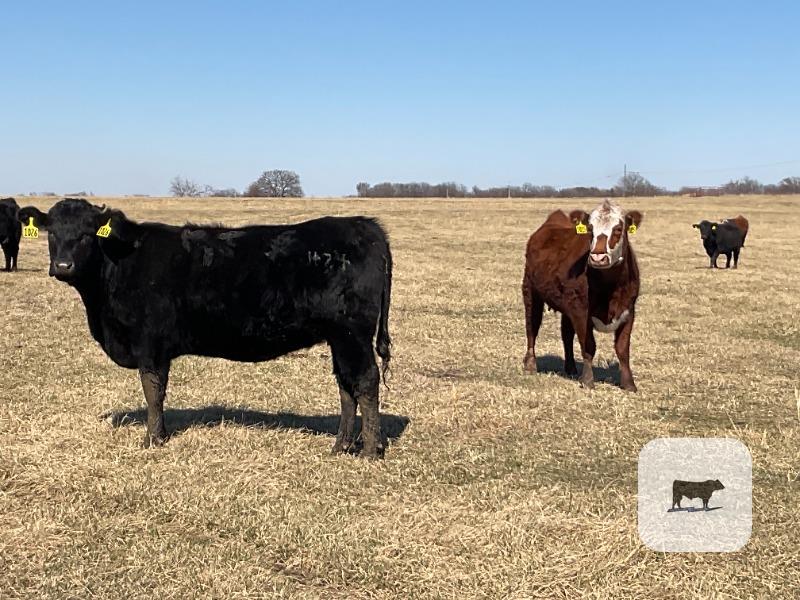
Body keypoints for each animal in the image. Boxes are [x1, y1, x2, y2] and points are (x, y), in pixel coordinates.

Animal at [18, 199, 393, 458]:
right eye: (53, 233)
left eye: (85, 235)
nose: (62, 266)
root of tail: (365, 226)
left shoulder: (150, 344)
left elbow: (153, 391)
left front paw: (153, 439)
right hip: (338, 338)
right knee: (346, 386)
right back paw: (340, 446)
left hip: (352, 334)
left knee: (365, 382)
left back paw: (369, 451)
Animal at [522, 199, 643, 392]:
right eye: (591, 229)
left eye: (618, 229)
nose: (598, 258)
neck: (610, 288)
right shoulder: (580, 311)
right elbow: (589, 346)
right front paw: (587, 380)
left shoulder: (629, 310)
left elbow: (623, 349)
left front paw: (629, 384)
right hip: (530, 293)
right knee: (532, 328)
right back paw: (530, 365)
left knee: (566, 334)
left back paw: (571, 367)